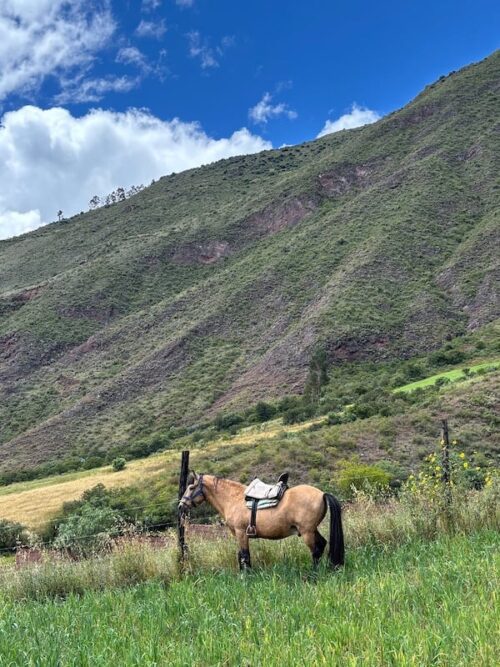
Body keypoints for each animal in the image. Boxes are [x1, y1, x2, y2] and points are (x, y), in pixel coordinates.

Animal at [178, 472, 344, 570]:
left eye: (191, 487)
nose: (181, 505)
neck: (233, 499)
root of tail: (322, 494)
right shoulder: (239, 535)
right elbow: (241, 555)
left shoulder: (241, 533)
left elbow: (245, 556)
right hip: (312, 529)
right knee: (321, 545)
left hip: (307, 532)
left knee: (315, 550)